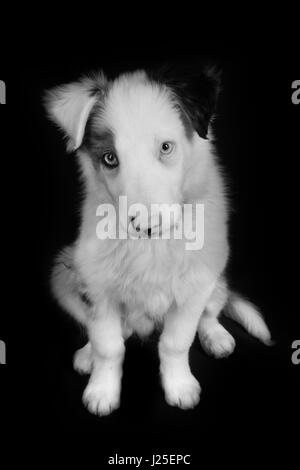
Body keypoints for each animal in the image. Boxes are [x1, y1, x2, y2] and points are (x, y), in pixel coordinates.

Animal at [44, 65, 272, 414]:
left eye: (166, 147)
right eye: (109, 158)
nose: (147, 226)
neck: (150, 247)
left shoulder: (196, 282)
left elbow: (176, 343)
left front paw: (180, 387)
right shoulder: (97, 287)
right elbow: (108, 345)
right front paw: (102, 391)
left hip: (216, 275)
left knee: (211, 310)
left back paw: (215, 336)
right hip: (64, 272)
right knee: (117, 330)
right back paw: (87, 354)